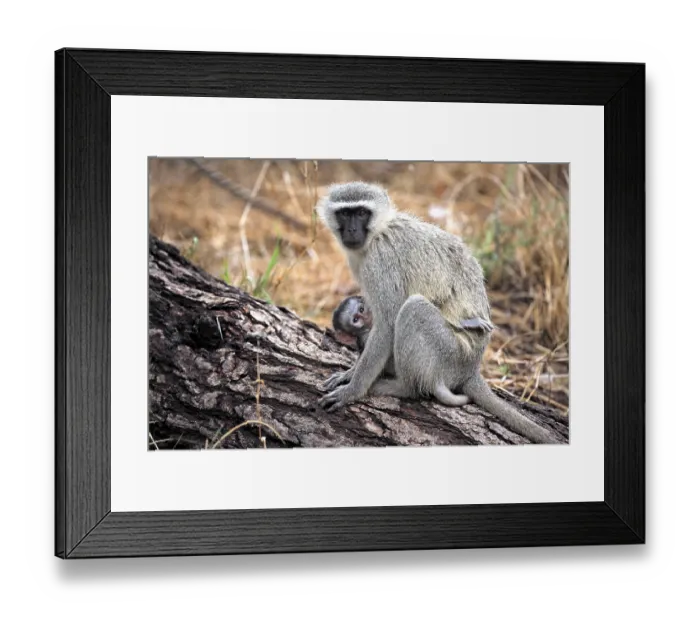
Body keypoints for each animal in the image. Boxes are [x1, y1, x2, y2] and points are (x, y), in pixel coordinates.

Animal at [317, 181, 555, 444]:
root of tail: (471, 369)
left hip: (452, 353)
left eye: (361, 213)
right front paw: (350, 373)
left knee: (413, 309)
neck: (378, 232)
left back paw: (404, 388)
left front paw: (353, 390)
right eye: (344, 213)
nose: (351, 230)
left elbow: (386, 325)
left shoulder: (380, 262)